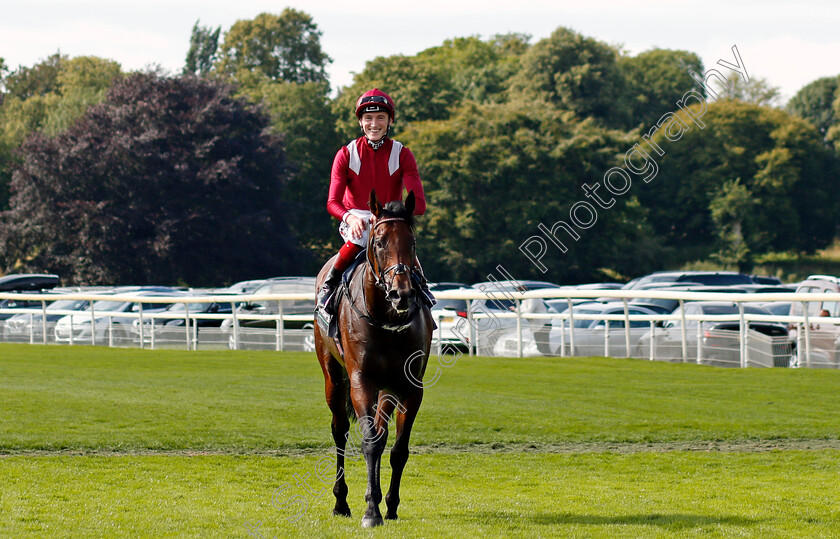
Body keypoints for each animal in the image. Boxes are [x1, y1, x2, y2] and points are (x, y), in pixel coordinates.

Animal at [314, 189, 434, 528]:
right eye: (379, 242)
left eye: (412, 242)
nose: (401, 293)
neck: (386, 319)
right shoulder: (361, 381)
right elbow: (368, 441)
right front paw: (370, 511)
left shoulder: (409, 386)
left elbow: (397, 448)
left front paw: (387, 505)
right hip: (333, 376)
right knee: (340, 430)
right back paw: (341, 501)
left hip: (387, 388)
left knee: (381, 434)